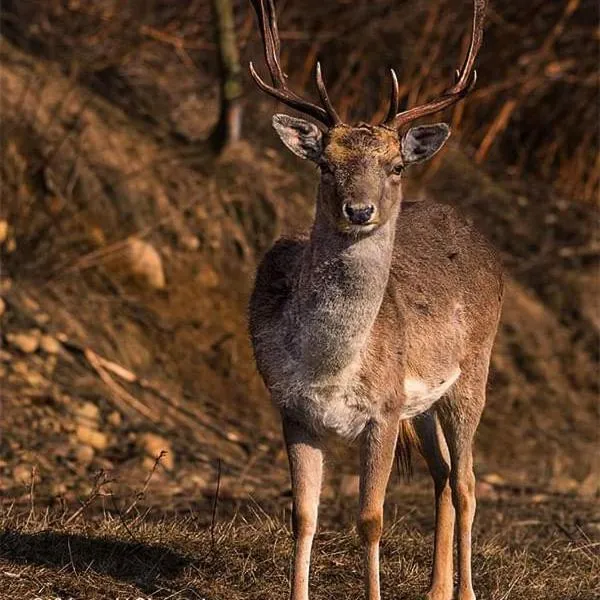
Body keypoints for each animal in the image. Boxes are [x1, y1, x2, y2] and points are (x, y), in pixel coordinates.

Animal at [246, 2, 504, 596]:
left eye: (396, 165)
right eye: (325, 163)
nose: (359, 210)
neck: (332, 367)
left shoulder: (383, 412)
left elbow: (371, 520)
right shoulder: (290, 408)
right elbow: (303, 516)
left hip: (474, 372)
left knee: (467, 482)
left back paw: (465, 589)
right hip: (424, 403)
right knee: (442, 476)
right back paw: (435, 588)